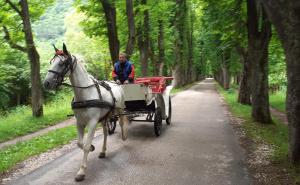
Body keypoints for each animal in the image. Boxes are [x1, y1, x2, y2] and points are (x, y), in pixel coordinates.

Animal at [43, 44, 127, 181]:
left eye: (62, 63)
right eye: (52, 62)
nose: (46, 83)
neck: (85, 95)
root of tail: (116, 83)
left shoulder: (92, 122)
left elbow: (86, 145)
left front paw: (81, 171)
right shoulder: (79, 122)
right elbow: (80, 143)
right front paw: (93, 147)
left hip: (119, 109)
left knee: (122, 122)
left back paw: (124, 136)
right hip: (104, 116)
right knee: (105, 132)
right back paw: (103, 151)